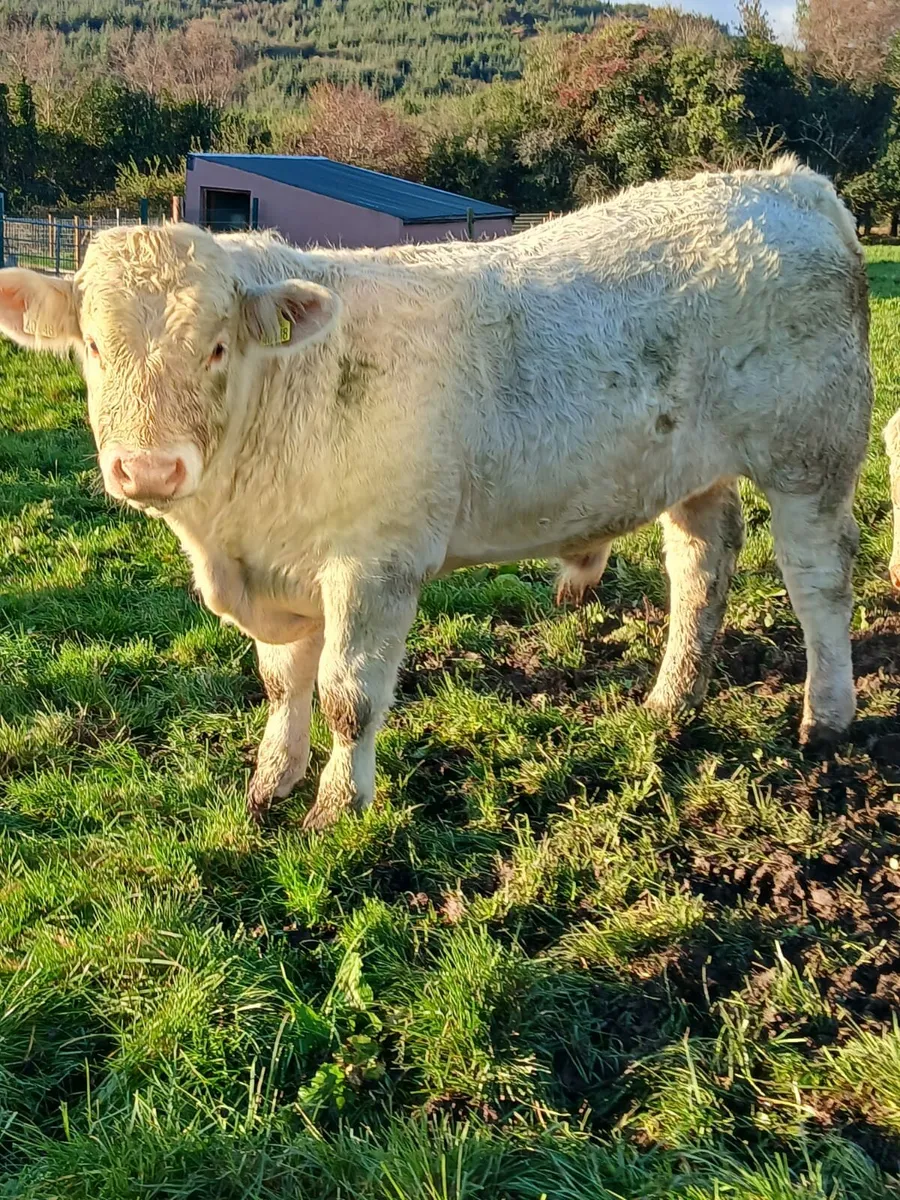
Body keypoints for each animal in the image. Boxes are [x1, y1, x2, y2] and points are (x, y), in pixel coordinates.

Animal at [0, 156, 873, 831]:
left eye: (216, 348)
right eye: (93, 346)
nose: (149, 470)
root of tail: (789, 184)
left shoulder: (375, 566)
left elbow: (348, 696)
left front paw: (334, 809)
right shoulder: (278, 567)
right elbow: (283, 682)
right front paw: (270, 781)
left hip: (813, 453)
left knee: (819, 579)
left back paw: (825, 717)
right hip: (693, 467)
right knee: (701, 568)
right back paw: (672, 701)